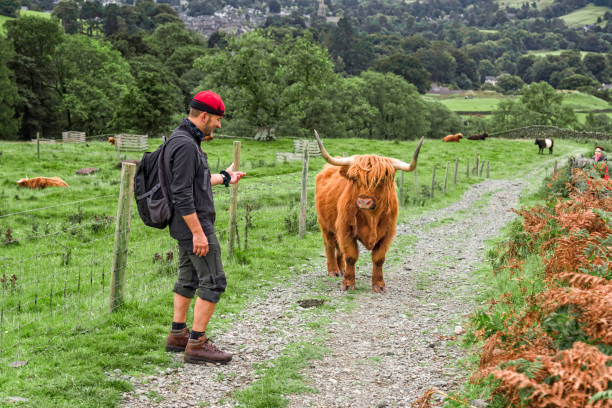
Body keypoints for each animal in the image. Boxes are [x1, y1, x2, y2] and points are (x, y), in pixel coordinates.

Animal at [314, 131, 424, 294]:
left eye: (381, 180)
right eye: (354, 179)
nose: (364, 202)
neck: (371, 217)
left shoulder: (387, 233)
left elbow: (379, 258)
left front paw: (379, 285)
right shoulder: (345, 229)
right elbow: (351, 256)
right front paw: (348, 284)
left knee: (338, 249)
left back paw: (341, 269)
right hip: (325, 225)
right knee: (330, 245)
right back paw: (333, 270)